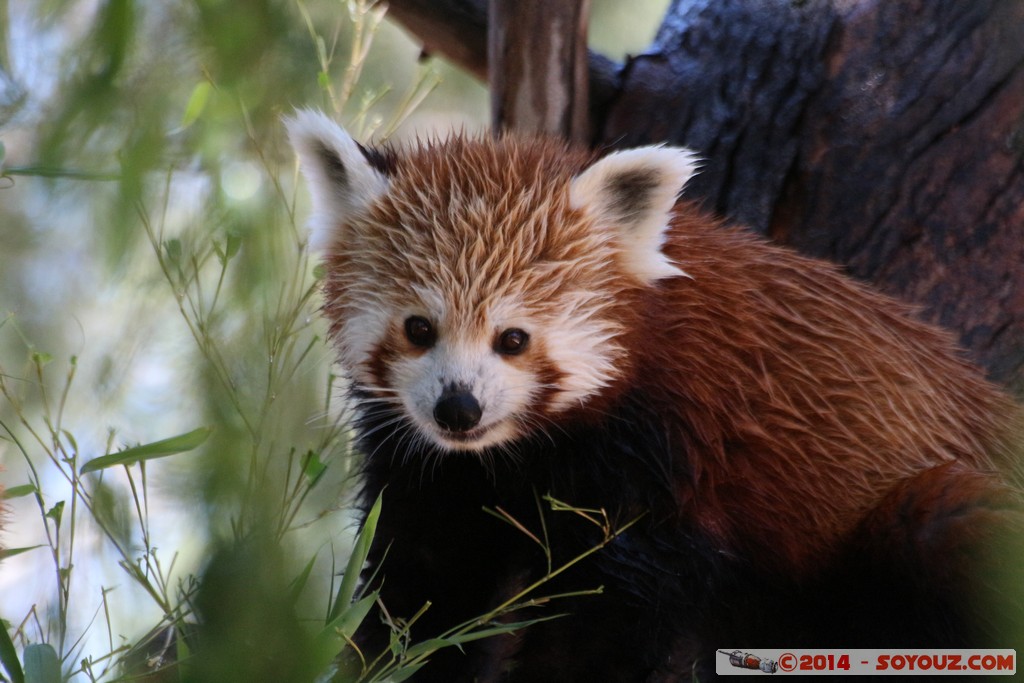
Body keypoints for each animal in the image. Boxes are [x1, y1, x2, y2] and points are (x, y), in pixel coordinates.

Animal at [284, 109, 1019, 679]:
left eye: (513, 339)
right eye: (419, 328)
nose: (458, 409)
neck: (520, 452)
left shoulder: (668, 450)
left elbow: (618, 609)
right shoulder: (435, 474)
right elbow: (423, 583)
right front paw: (393, 660)